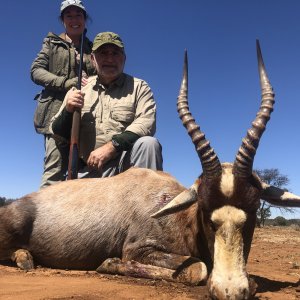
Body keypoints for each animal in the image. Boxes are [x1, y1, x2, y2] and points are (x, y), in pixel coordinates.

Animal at [0, 40, 300, 300]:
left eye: (253, 209)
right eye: (205, 209)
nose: (230, 291)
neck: (178, 214)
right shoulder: (138, 249)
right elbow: (198, 268)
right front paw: (108, 263)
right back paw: (25, 258)